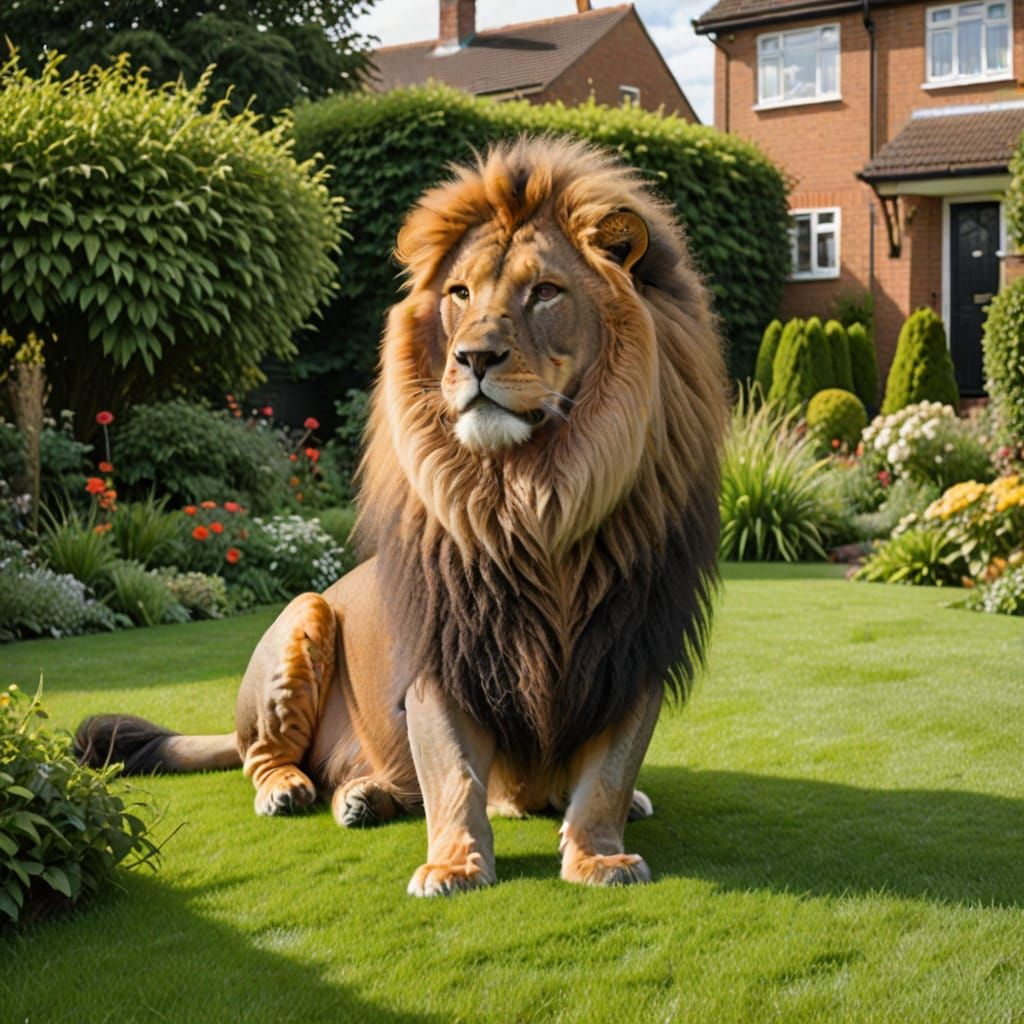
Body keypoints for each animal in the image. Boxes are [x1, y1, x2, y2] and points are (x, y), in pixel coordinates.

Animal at [76, 137, 728, 895]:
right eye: (460, 294)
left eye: (544, 292)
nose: (473, 357)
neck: (535, 502)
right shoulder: (445, 651)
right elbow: (452, 772)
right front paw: (455, 864)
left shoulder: (631, 645)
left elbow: (609, 776)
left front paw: (598, 855)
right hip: (301, 617)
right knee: (262, 756)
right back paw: (298, 790)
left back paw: (366, 795)